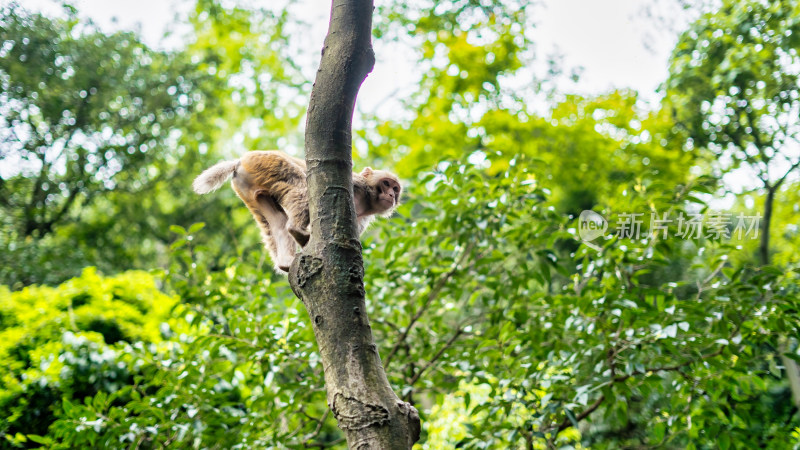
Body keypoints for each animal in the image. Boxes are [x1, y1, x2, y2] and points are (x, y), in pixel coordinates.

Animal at [191, 150, 404, 270]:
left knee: (276, 222)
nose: (391, 195)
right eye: (386, 184)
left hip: (248, 191)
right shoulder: (354, 182)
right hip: (269, 163)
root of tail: (239, 161)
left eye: (395, 189)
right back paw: (297, 230)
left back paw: (285, 261)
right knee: (301, 185)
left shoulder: (361, 218)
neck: (365, 198)